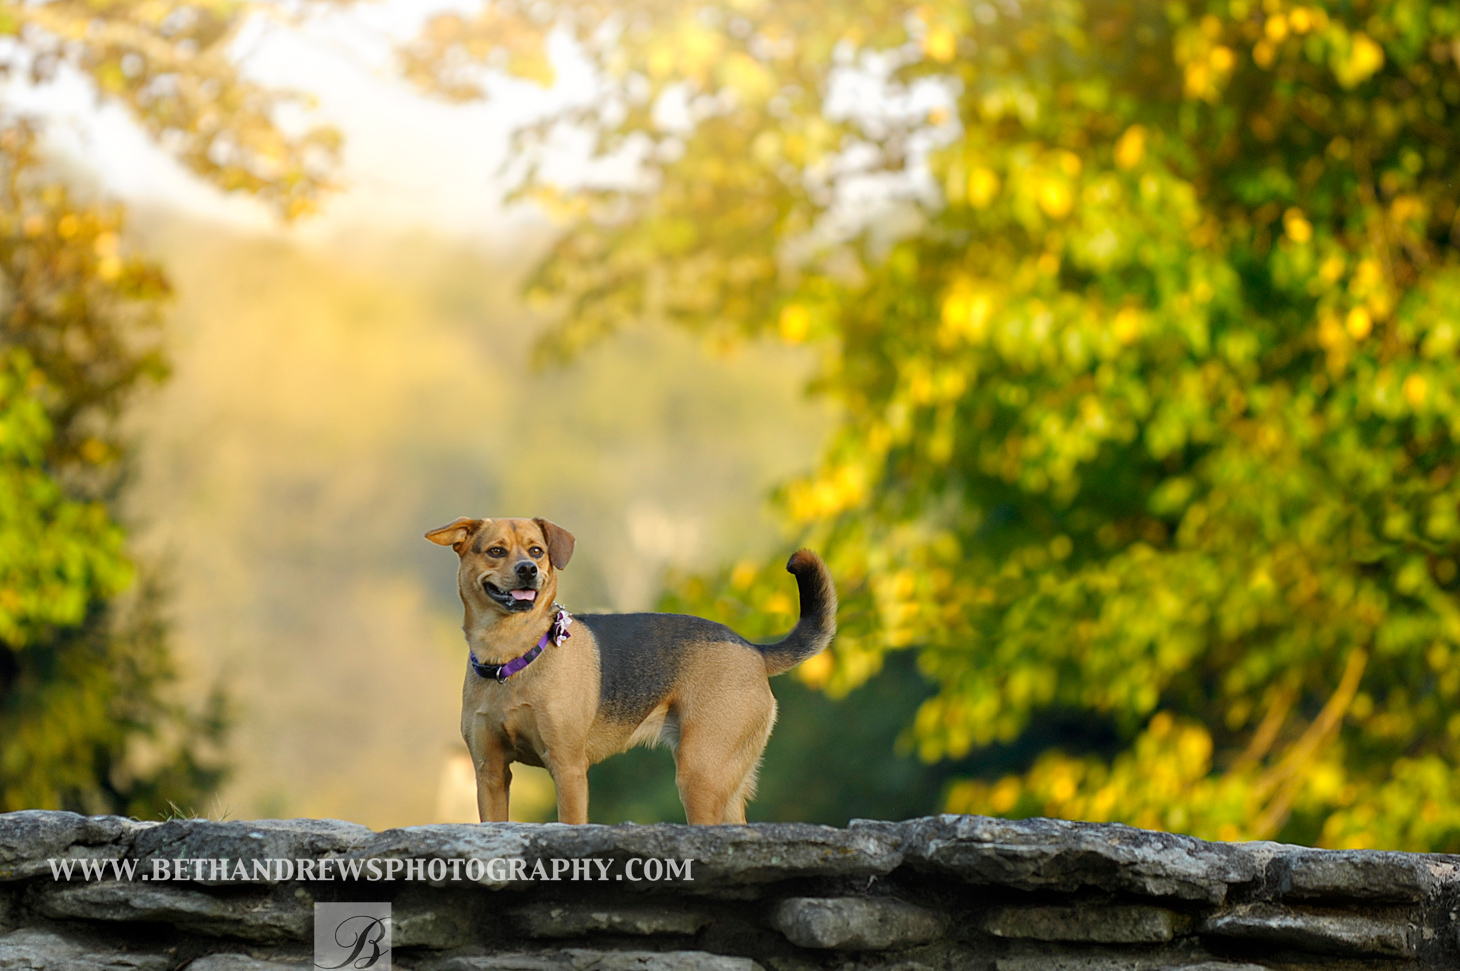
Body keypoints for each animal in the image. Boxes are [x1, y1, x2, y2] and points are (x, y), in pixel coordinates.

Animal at [426, 513, 835, 823]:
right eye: (495, 551)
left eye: (537, 551)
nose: (528, 570)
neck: (511, 657)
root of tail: (752, 649)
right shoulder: (490, 772)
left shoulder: (568, 769)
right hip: (724, 779)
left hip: (701, 774)